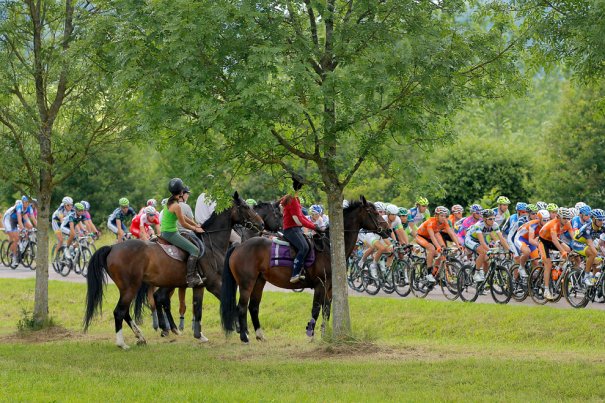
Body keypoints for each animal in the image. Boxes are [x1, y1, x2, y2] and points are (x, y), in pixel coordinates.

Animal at [84, 191, 264, 348]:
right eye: (246, 207)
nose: (261, 224)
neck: (211, 243)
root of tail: (112, 248)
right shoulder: (214, 284)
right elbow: (231, 305)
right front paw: (243, 332)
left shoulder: (200, 286)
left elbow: (197, 309)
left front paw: (199, 335)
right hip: (131, 287)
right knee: (119, 312)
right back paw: (123, 343)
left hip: (130, 288)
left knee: (127, 311)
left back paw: (141, 337)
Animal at [219, 196, 390, 344]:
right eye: (374, 213)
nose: (388, 230)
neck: (329, 247)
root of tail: (238, 246)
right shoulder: (320, 284)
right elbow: (316, 309)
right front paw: (310, 333)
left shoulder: (330, 287)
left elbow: (326, 310)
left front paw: (324, 334)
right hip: (246, 283)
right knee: (241, 307)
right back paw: (244, 337)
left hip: (259, 281)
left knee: (253, 307)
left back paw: (260, 335)